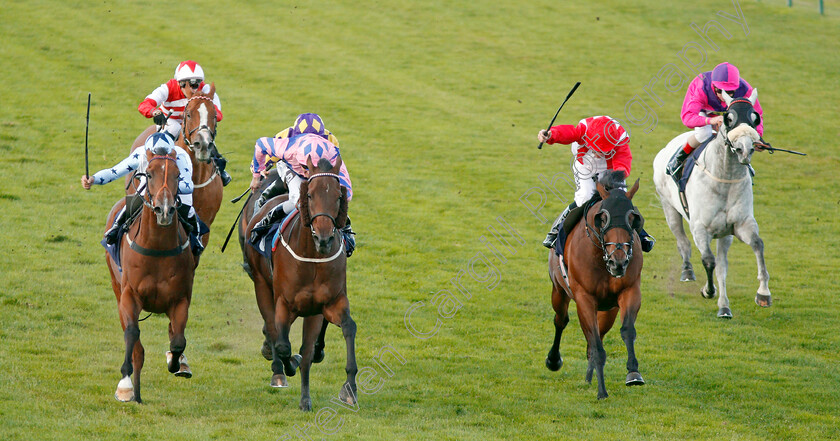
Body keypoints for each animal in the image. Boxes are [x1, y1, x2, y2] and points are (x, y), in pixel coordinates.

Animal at [104, 145, 195, 402]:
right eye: (150, 174)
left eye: (178, 174)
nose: (164, 210)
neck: (157, 247)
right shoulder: (129, 295)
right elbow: (133, 335)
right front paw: (125, 385)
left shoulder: (180, 299)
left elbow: (178, 340)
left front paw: (176, 364)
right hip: (116, 287)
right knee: (134, 341)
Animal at [241, 155, 356, 410]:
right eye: (310, 195)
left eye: (338, 196)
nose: (324, 238)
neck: (312, 258)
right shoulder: (284, 303)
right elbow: (284, 345)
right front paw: (288, 364)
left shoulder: (325, 304)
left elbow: (346, 328)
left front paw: (346, 388)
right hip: (261, 286)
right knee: (272, 329)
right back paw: (278, 371)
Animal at [548, 174, 648, 400]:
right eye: (602, 218)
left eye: (633, 218)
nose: (618, 261)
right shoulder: (584, 298)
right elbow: (595, 343)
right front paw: (602, 391)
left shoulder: (630, 291)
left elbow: (627, 331)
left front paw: (633, 373)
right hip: (559, 291)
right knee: (561, 321)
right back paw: (553, 360)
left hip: (608, 309)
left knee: (597, 337)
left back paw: (588, 377)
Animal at [648, 87, 776, 318]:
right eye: (729, 118)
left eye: (755, 118)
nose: (745, 149)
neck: (725, 179)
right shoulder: (700, 228)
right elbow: (708, 260)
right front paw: (708, 291)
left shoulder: (741, 225)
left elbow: (757, 245)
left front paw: (763, 294)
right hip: (669, 208)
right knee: (683, 242)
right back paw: (687, 271)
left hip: (724, 235)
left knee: (723, 265)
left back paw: (724, 306)